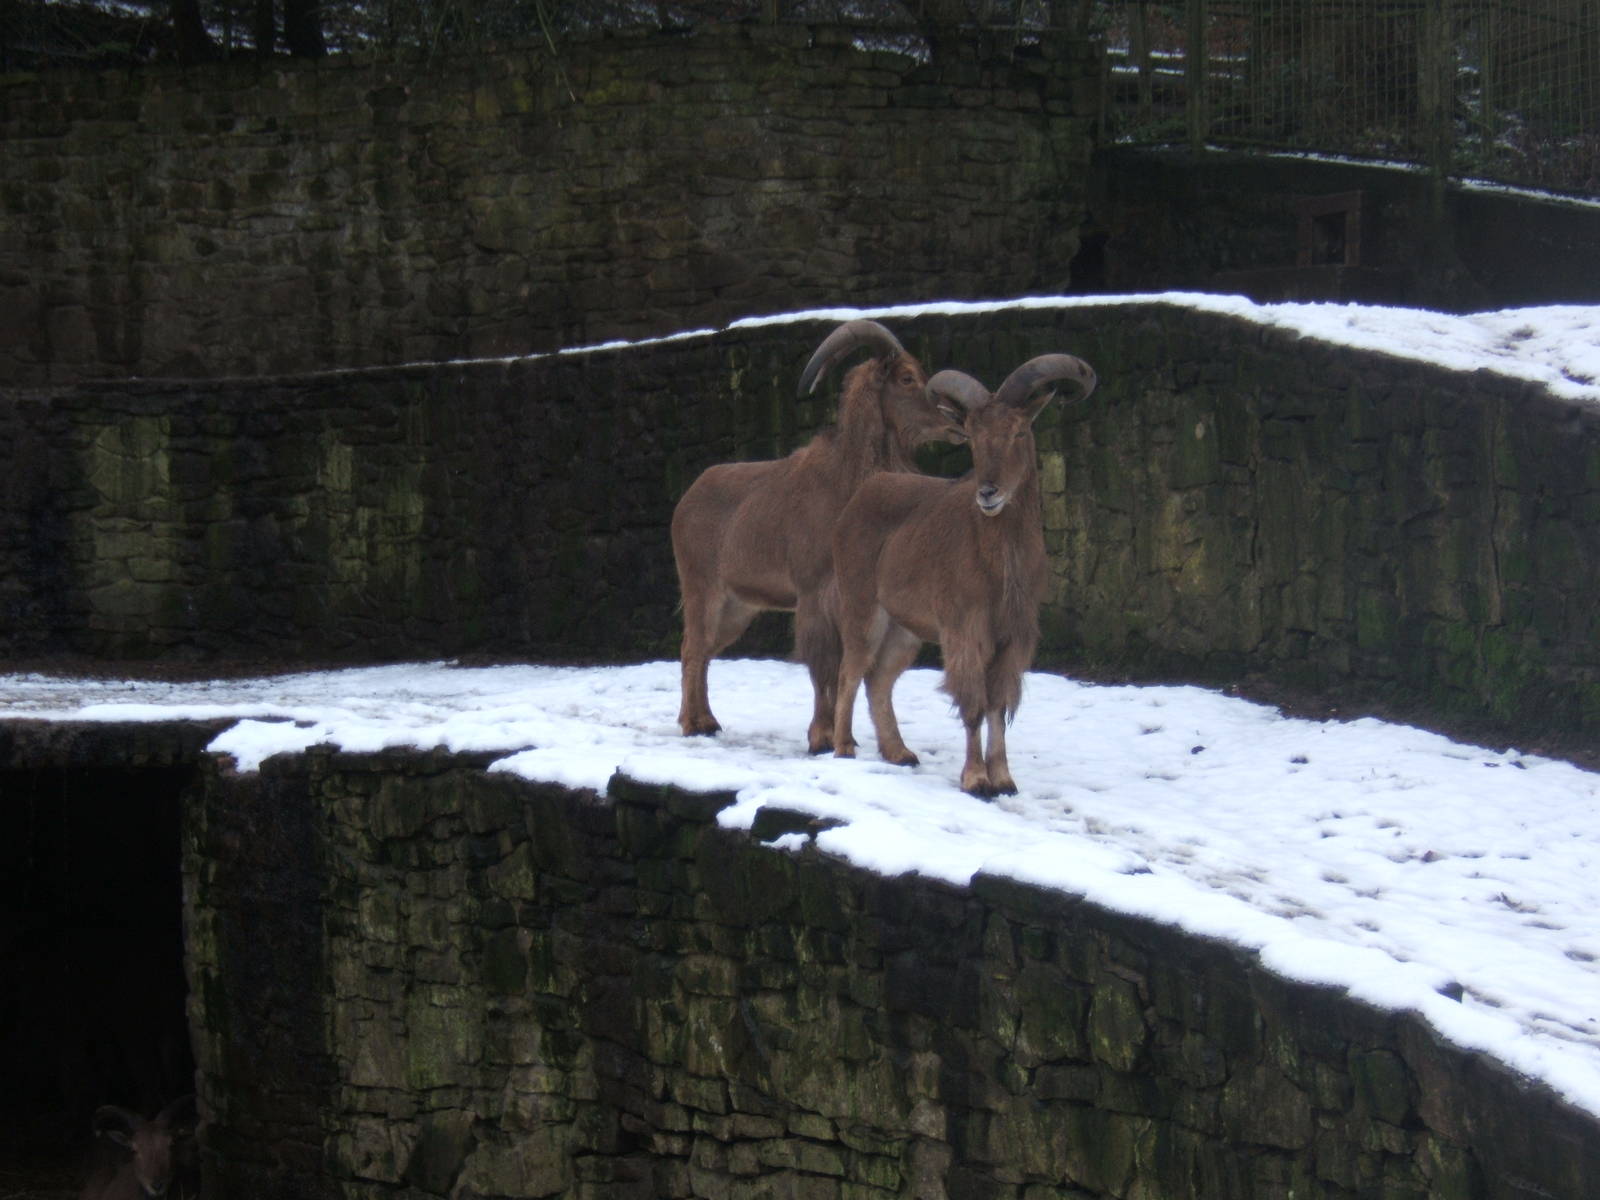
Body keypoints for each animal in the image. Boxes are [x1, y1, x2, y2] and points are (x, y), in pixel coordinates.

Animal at [672, 320, 962, 751]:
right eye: (908, 378)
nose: (957, 421)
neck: (848, 485)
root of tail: (685, 500)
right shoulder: (812, 593)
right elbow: (822, 665)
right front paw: (823, 736)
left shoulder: (846, 599)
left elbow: (840, 663)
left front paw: (840, 735)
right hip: (702, 589)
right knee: (693, 648)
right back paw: (694, 724)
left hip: (738, 606)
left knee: (704, 650)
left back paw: (706, 720)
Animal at [830, 353, 1098, 796]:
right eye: (972, 435)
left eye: (1019, 431)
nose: (988, 493)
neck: (999, 564)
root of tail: (864, 490)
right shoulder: (964, 631)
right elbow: (973, 705)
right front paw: (976, 779)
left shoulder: (1013, 636)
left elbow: (998, 705)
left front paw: (1004, 778)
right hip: (863, 609)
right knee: (850, 672)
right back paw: (842, 748)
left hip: (906, 629)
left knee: (879, 680)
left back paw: (899, 753)